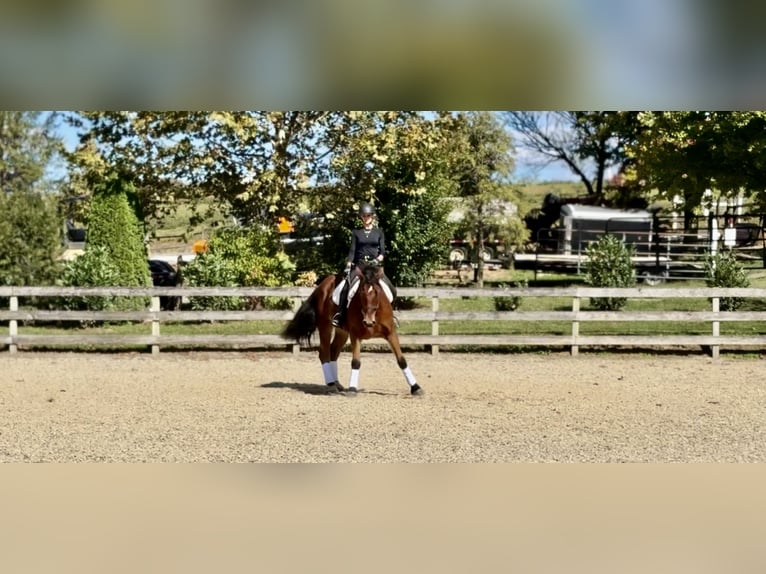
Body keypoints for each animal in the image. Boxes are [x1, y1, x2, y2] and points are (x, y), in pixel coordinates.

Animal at [281, 263, 422, 396]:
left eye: (377, 292)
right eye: (361, 292)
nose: (368, 321)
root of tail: (322, 285)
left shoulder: (391, 333)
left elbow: (402, 360)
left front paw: (416, 388)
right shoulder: (356, 335)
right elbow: (356, 362)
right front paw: (353, 389)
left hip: (342, 331)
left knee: (333, 352)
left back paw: (337, 384)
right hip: (325, 326)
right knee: (324, 353)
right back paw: (331, 385)